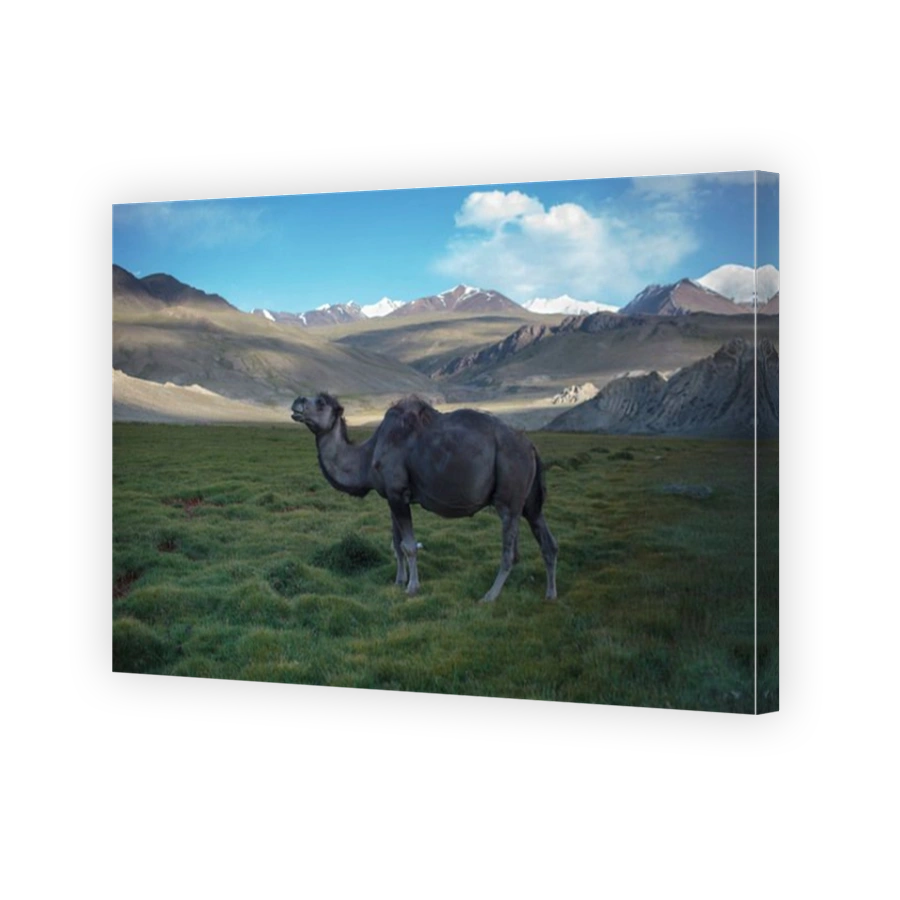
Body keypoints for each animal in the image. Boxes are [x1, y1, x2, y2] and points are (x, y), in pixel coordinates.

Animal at [291, 393, 558, 602]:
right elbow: (396, 544)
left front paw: (412, 588)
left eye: (321, 402)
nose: (297, 402)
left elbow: (409, 546)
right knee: (547, 540)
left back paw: (490, 596)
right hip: (529, 502)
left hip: (509, 494)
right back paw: (550, 594)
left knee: (509, 551)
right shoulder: (390, 497)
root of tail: (531, 446)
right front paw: (399, 581)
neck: (368, 455)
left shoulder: (398, 493)